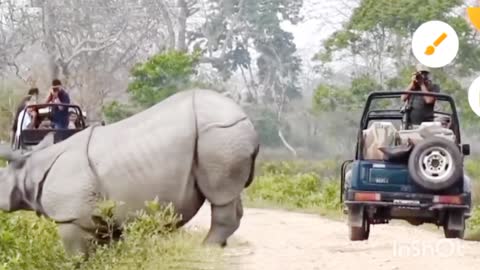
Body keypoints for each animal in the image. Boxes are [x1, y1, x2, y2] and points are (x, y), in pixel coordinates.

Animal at [0, 89, 258, 256]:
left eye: (1, 181)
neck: (30, 166)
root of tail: (247, 120)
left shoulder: (70, 215)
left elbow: (75, 253)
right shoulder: (96, 212)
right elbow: (105, 242)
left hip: (218, 134)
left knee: (220, 195)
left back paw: (206, 249)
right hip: (223, 135)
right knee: (229, 195)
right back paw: (220, 247)